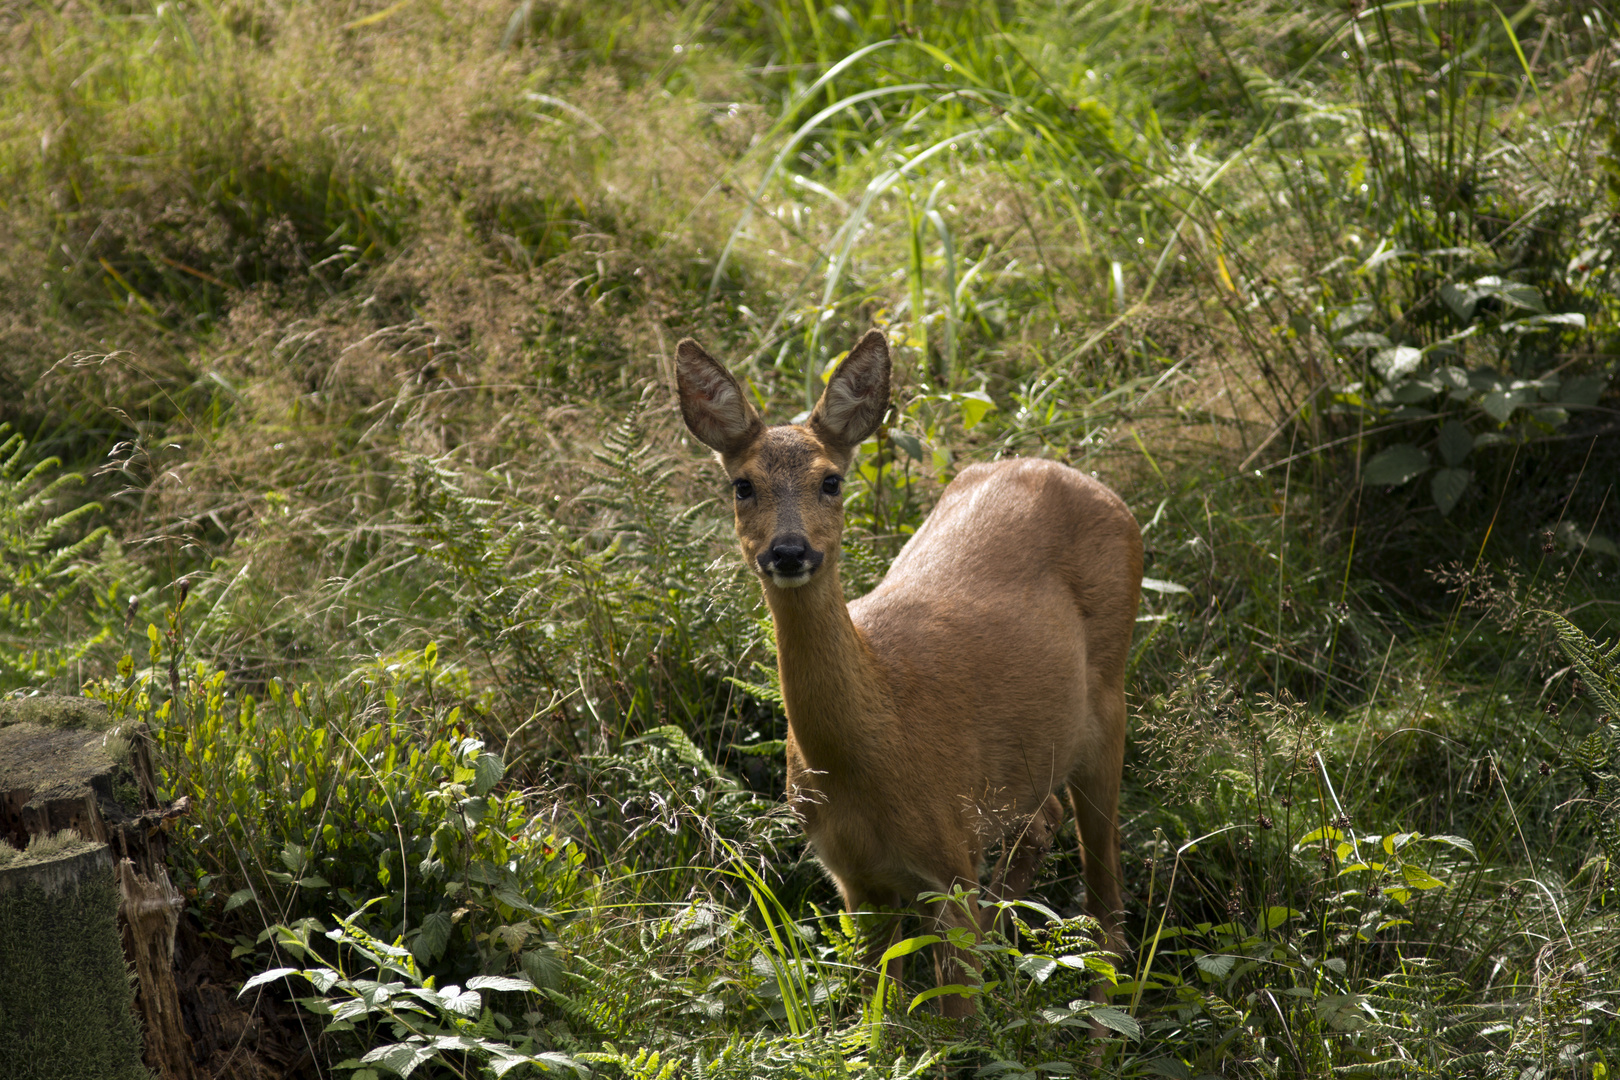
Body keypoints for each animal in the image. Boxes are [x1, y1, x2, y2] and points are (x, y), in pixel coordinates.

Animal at [670, 327, 1140, 1016]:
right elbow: (878, 1010)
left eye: (832, 480)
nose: (789, 550)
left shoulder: (949, 862)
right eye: (742, 485)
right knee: (1045, 823)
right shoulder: (853, 878)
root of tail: (1075, 474)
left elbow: (958, 1017)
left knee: (1108, 900)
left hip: (1109, 703)